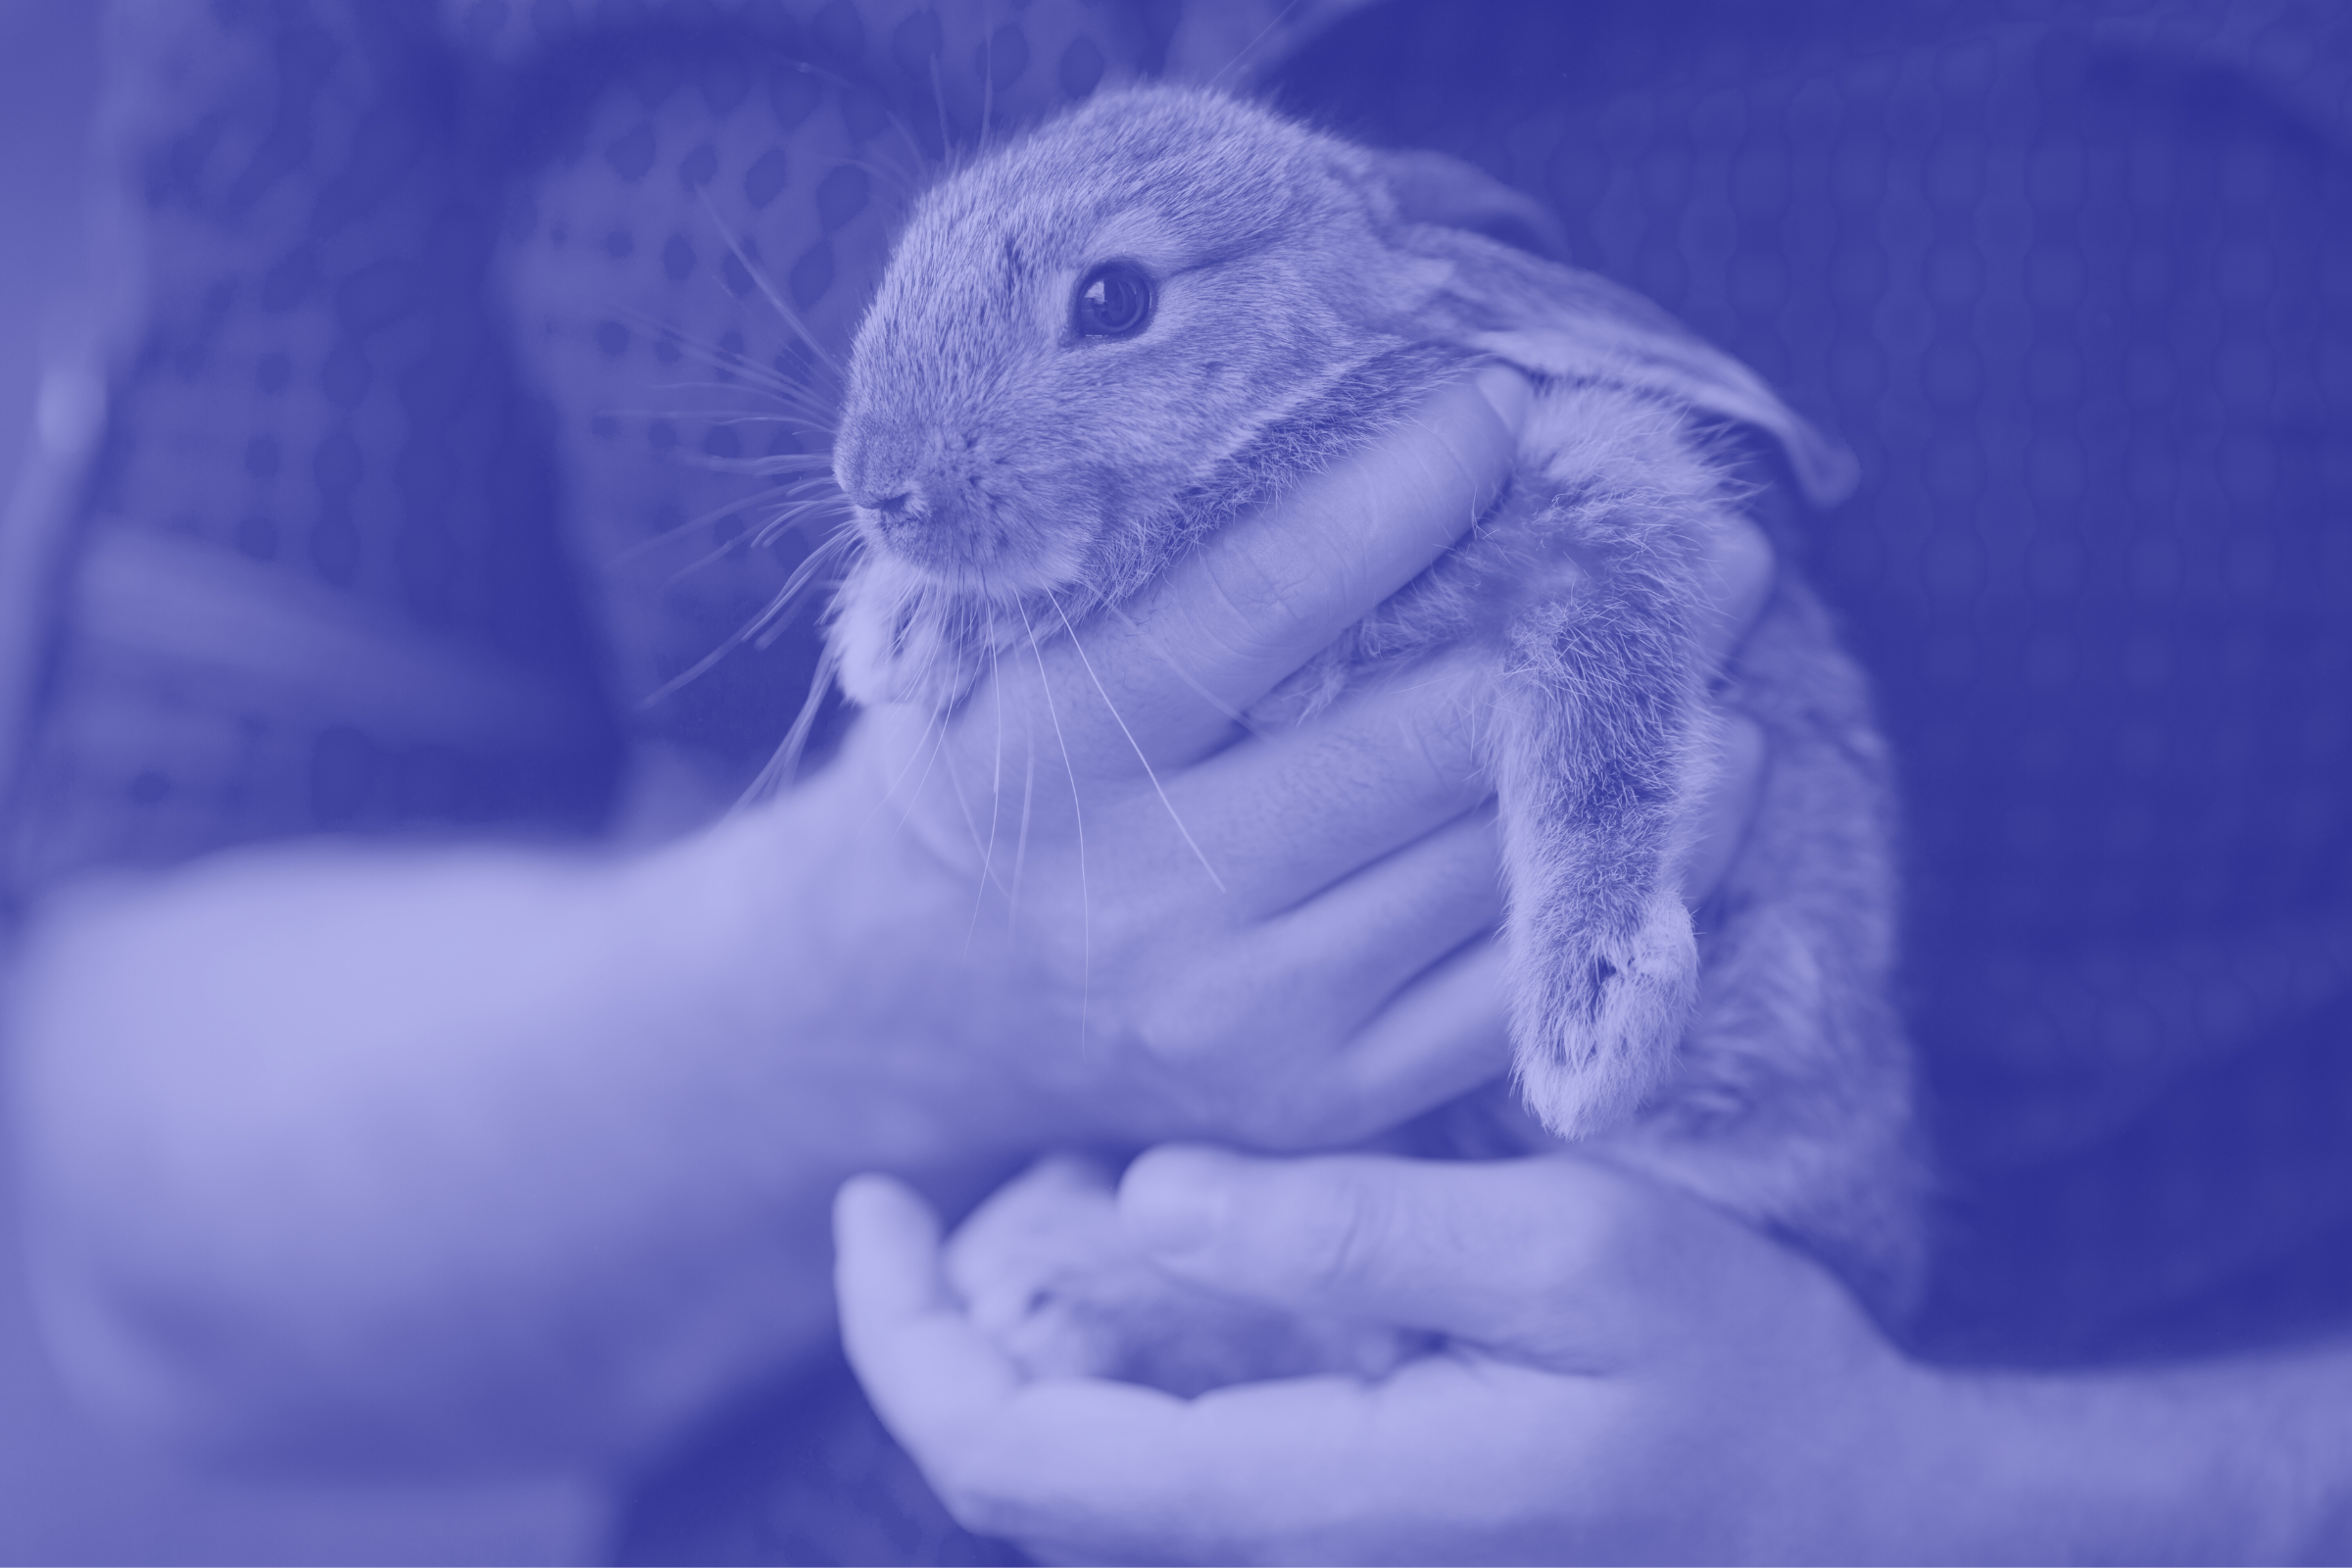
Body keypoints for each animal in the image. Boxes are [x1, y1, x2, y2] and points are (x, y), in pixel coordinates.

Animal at [820, 85, 1924, 1389]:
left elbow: (1606, 732)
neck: (1315, 401)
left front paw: (1594, 1020)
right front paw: (900, 618)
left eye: (1114, 300)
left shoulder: (1601, 495)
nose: (874, 482)